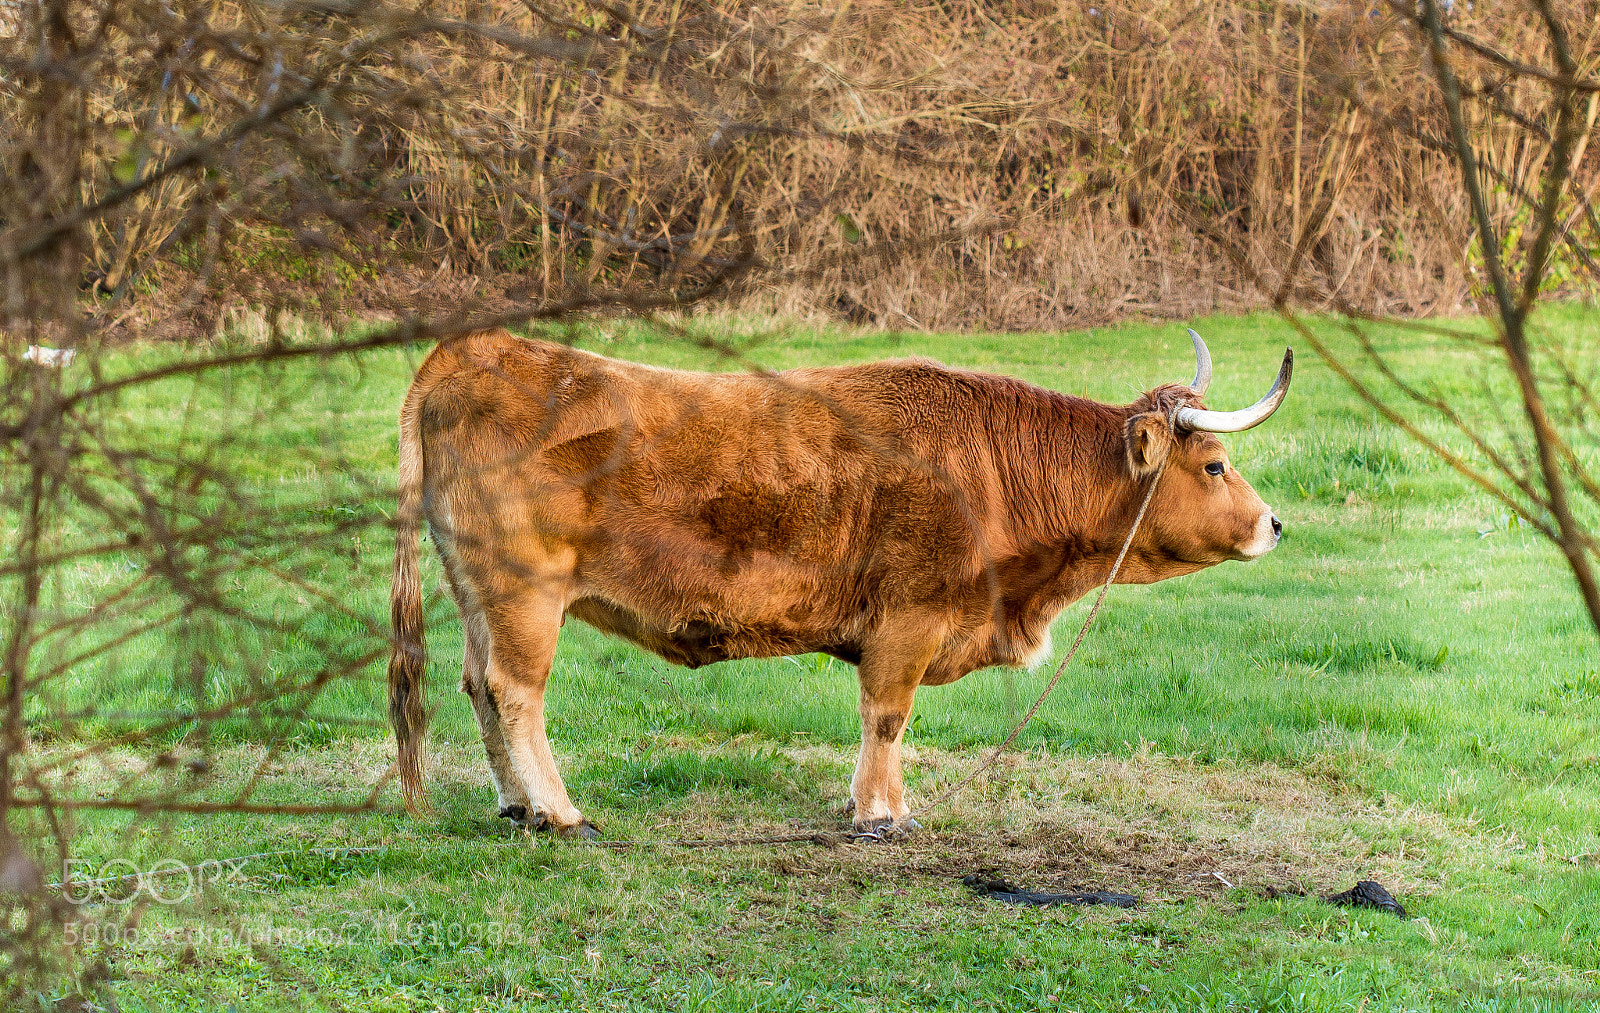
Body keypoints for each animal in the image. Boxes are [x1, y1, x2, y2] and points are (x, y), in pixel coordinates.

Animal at [387, 327, 1291, 839]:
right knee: (515, 690)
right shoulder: (910, 618)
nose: (1274, 524)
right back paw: (558, 810)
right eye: (1216, 464)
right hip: (524, 593)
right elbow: (887, 717)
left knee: (478, 684)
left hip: (479, 595)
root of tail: (475, 350)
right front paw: (880, 813)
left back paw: (517, 805)